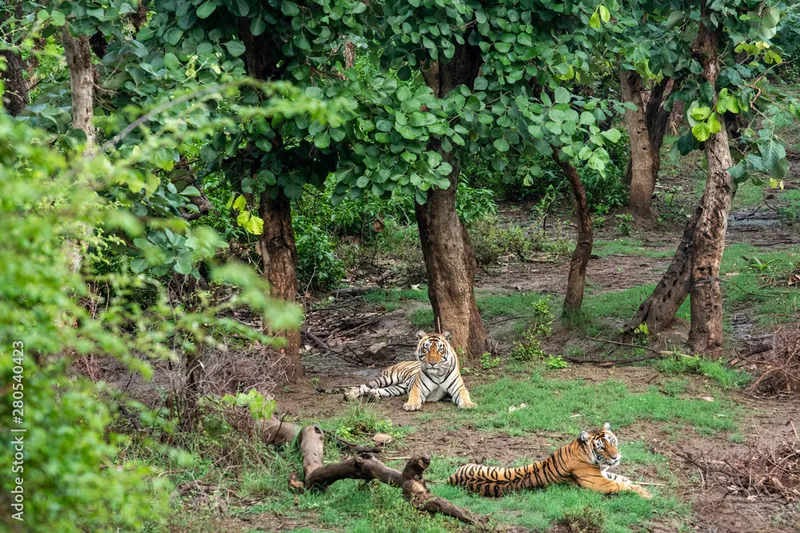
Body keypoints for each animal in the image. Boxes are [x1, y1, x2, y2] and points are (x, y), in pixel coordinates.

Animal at [344, 328, 476, 412]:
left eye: (440, 350)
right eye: (426, 349)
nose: (432, 363)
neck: (438, 374)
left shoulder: (459, 388)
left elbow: (465, 394)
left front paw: (468, 404)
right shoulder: (418, 388)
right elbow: (414, 395)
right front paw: (411, 405)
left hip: (399, 388)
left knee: (379, 389)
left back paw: (373, 395)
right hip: (388, 378)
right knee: (365, 386)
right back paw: (350, 395)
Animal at [446, 420, 652, 498]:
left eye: (612, 441)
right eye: (601, 447)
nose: (615, 457)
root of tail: (451, 478)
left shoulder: (603, 474)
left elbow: (624, 479)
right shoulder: (598, 483)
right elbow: (623, 485)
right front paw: (646, 494)